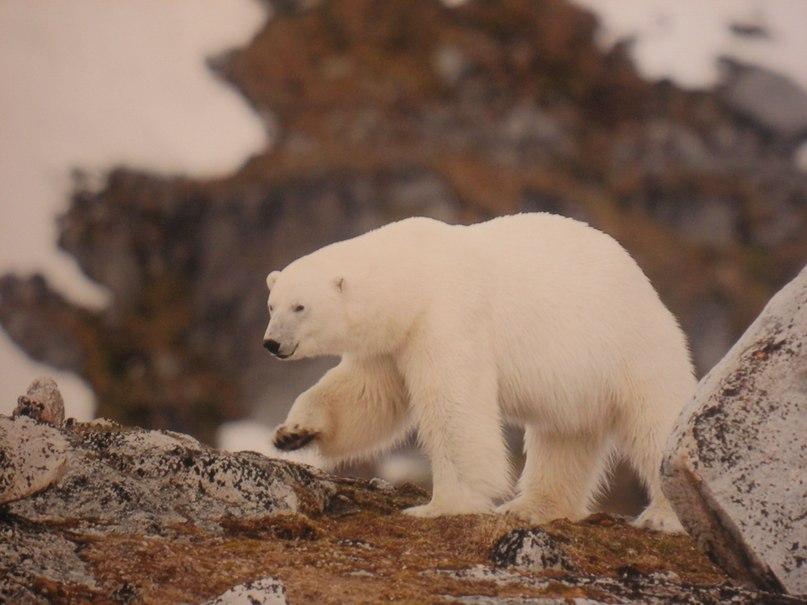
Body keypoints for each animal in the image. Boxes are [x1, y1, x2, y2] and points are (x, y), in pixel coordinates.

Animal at [264, 212, 696, 528]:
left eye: (300, 306)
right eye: (272, 304)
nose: (271, 343)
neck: (414, 273)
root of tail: (644, 284)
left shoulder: (447, 316)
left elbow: (455, 407)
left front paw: (441, 506)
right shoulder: (393, 342)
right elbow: (366, 395)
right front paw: (293, 432)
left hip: (632, 347)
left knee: (656, 424)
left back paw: (663, 516)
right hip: (580, 385)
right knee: (564, 439)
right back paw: (531, 506)